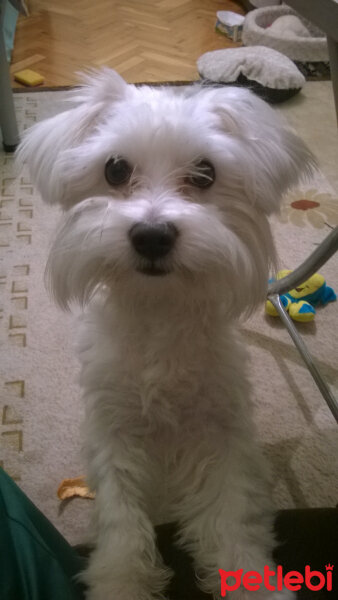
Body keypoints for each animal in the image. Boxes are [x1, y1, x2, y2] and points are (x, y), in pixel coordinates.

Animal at [17, 68, 314, 596]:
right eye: (115, 170)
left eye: (205, 174)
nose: (152, 236)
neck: (159, 308)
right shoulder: (115, 430)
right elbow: (121, 520)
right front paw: (120, 581)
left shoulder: (220, 431)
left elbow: (231, 517)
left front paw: (251, 577)